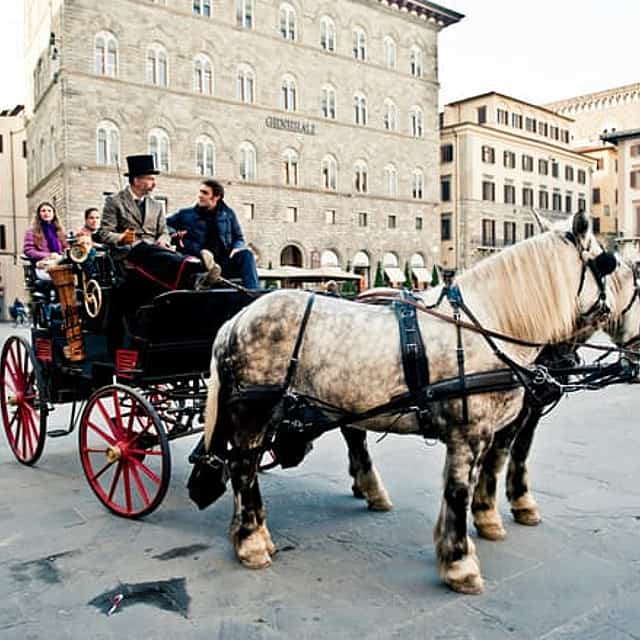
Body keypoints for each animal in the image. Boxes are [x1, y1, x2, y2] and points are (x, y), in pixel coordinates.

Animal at [201, 211, 617, 594]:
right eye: (606, 264)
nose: (612, 309)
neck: (487, 324)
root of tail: (236, 320)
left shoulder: (487, 433)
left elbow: (475, 481)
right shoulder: (468, 434)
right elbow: (458, 492)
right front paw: (460, 564)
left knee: (249, 464)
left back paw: (254, 530)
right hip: (254, 411)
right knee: (242, 467)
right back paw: (251, 542)